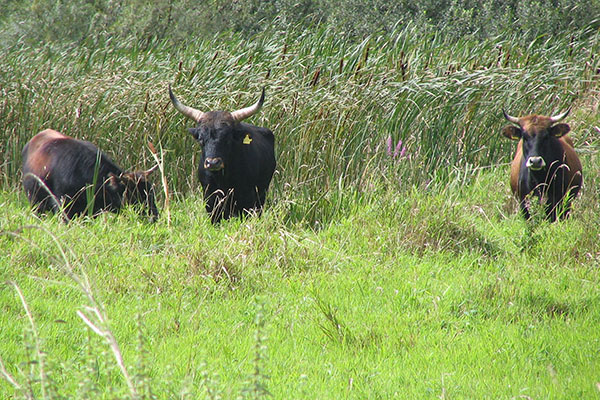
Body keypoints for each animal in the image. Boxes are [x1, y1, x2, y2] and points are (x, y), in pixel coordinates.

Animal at [166, 85, 274, 223]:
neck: (223, 179)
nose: (212, 163)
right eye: (201, 139)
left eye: (227, 138)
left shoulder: (247, 200)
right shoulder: (210, 200)